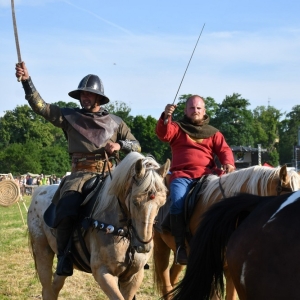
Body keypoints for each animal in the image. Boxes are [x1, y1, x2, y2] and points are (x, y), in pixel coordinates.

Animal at [27, 152, 170, 300]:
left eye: (161, 203)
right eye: (135, 202)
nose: (143, 246)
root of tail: (40, 190)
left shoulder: (134, 276)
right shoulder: (103, 273)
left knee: (55, 287)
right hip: (42, 251)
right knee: (47, 288)